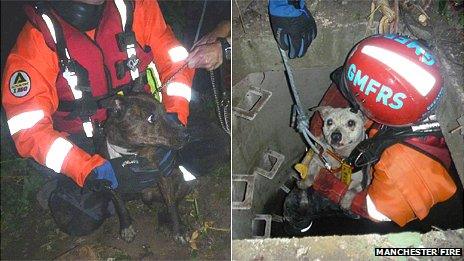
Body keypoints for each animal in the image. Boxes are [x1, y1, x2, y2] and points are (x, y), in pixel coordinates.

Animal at [101, 92, 194, 243]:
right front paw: (126, 228)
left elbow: (172, 205)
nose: (187, 135)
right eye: (151, 117)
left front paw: (178, 230)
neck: (131, 154)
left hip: (184, 180)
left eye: (165, 111)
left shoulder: (164, 177)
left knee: (171, 203)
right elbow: (121, 207)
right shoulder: (111, 184)